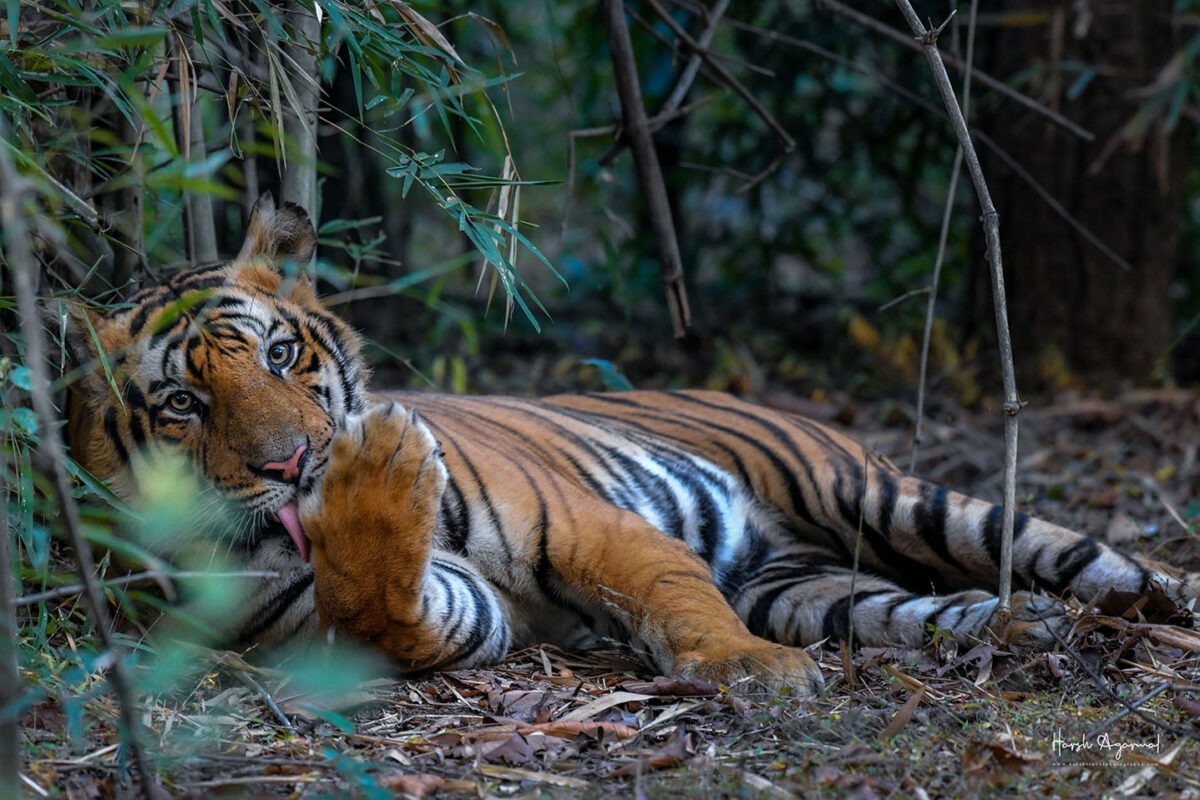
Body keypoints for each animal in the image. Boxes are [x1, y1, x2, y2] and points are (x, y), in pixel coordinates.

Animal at [62, 193, 1199, 697]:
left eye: (282, 352)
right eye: (182, 405)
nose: (296, 464)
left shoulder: (582, 524)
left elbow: (674, 597)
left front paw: (750, 671)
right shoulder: (419, 609)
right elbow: (383, 606)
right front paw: (374, 488)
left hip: (890, 498)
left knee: (1093, 560)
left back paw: (1142, 604)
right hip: (810, 586)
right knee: (911, 609)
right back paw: (1014, 626)